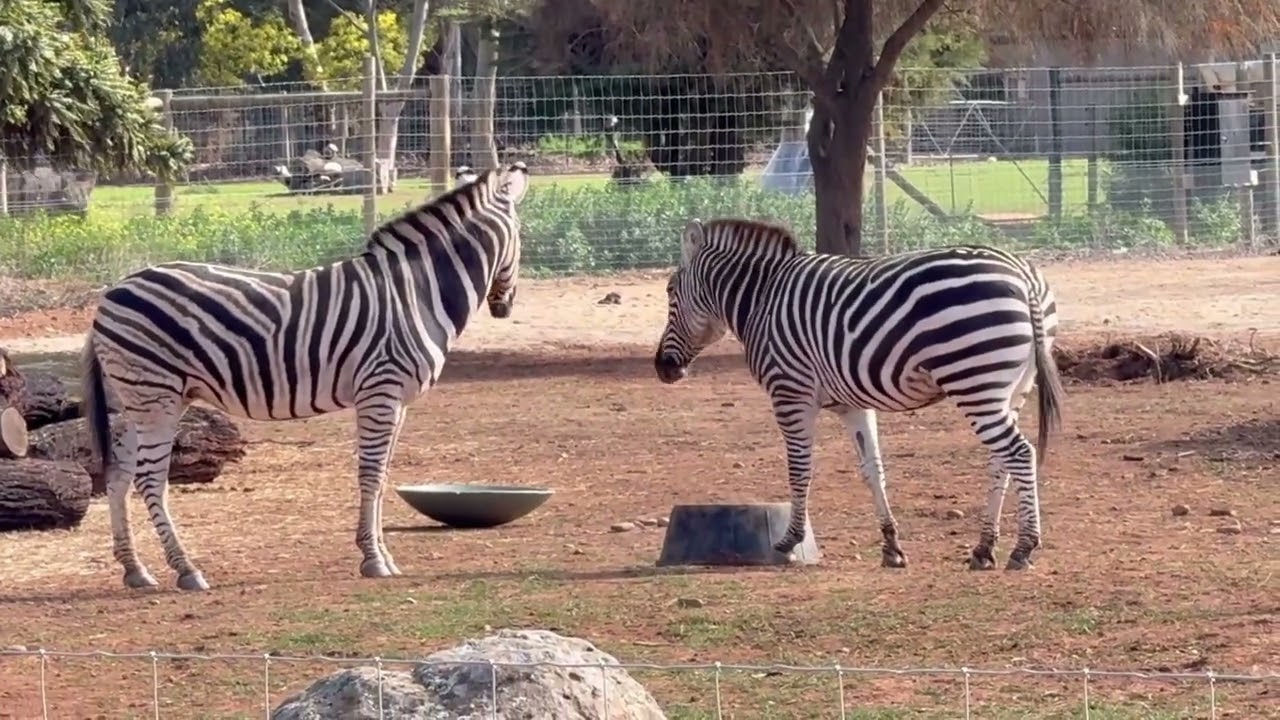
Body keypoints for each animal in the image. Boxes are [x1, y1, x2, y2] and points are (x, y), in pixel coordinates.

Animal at [80, 162, 531, 592]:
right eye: (521, 237)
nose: (505, 307)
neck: (417, 292)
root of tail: (110, 294)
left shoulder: (397, 399)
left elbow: (384, 475)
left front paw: (382, 553)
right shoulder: (380, 390)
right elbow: (370, 474)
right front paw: (373, 559)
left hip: (133, 400)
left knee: (119, 477)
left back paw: (135, 570)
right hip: (157, 396)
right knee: (149, 480)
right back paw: (186, 569)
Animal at [653, 218, 1064, 571]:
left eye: (671, 292)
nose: (662, 367)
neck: (761, 298)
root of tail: (1023, 274)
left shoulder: (790, 393)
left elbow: (799, 469)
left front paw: (789, 541)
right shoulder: (852, 404)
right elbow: (872, 470)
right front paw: (891, 546)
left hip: (974, 380)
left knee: (1019, 453)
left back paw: (1024, 547)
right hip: (1010, 389)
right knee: (1001, 461)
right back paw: (983, 549)